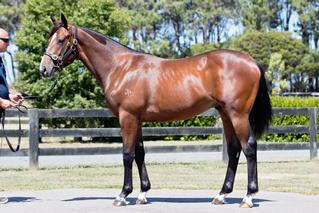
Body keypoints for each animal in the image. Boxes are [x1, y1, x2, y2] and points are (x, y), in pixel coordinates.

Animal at [38, 13, 272, 208]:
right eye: (49, 38)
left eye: (61, 40)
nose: (44, 69)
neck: (120, 68)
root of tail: (251, 62)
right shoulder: (137, 119)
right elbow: (140, 153)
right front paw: (142, 194)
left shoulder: (127, 117)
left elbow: (127, 154)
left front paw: (122, 195)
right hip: (225, 114)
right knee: (234, 150)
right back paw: (221, 195)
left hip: (238, 115)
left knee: (249, 148)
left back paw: (248, 197)